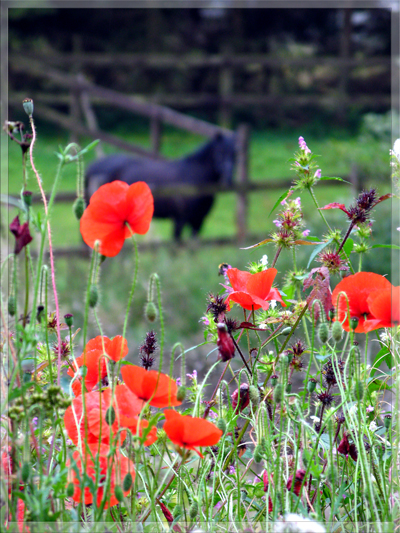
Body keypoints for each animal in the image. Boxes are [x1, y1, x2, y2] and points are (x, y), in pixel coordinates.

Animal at [84, 133, 234, 241]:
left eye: (235, 154)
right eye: (219, 153)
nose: (228, 180)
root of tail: (92, 167)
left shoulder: (198, 220)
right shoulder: (180, 219)